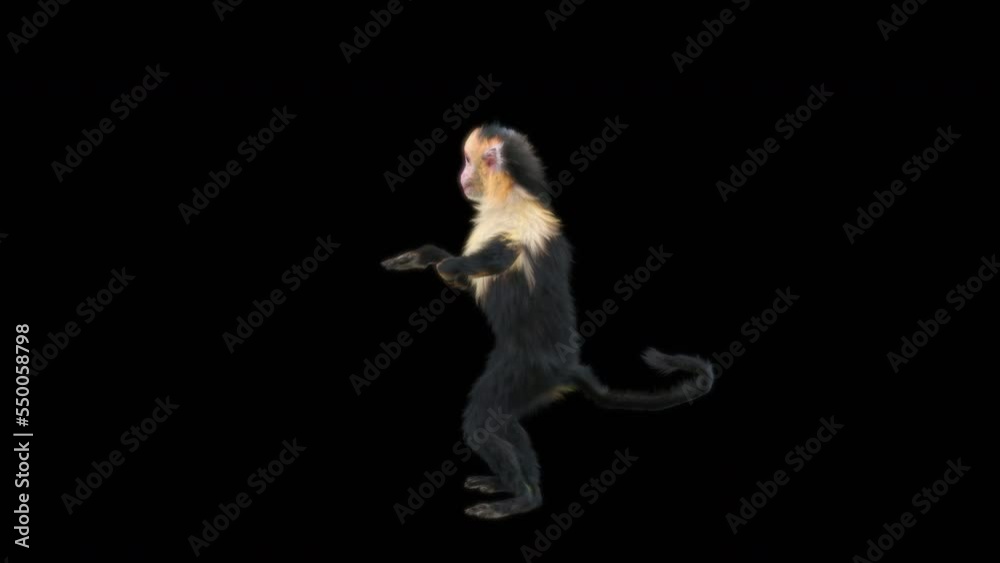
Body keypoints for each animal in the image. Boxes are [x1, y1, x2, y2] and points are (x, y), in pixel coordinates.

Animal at [381, 123, 715, 520]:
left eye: (467, 162)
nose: (461, 176)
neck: (508, 197)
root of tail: (566, 366)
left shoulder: (523, 226)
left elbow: (499, 259)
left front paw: (453, 264)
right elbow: (461, 277)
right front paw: (426, 258)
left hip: (528, 369)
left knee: (485, 419)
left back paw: (521, 499)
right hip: (534, 382)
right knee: (506, 422)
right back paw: (522, 490)